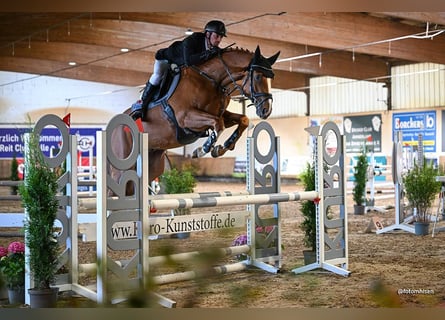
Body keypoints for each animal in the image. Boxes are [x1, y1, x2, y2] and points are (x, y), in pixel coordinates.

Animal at [109, 45, 280, 190]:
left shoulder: (219, 113)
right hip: (121, 165)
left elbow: (242, 120)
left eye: (271, 78)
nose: (266, 110)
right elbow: (218, 124)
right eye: (258, 77)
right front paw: (203, 149)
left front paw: (223, 147)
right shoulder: (185, 118)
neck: (211, 80)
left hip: (153, 163)